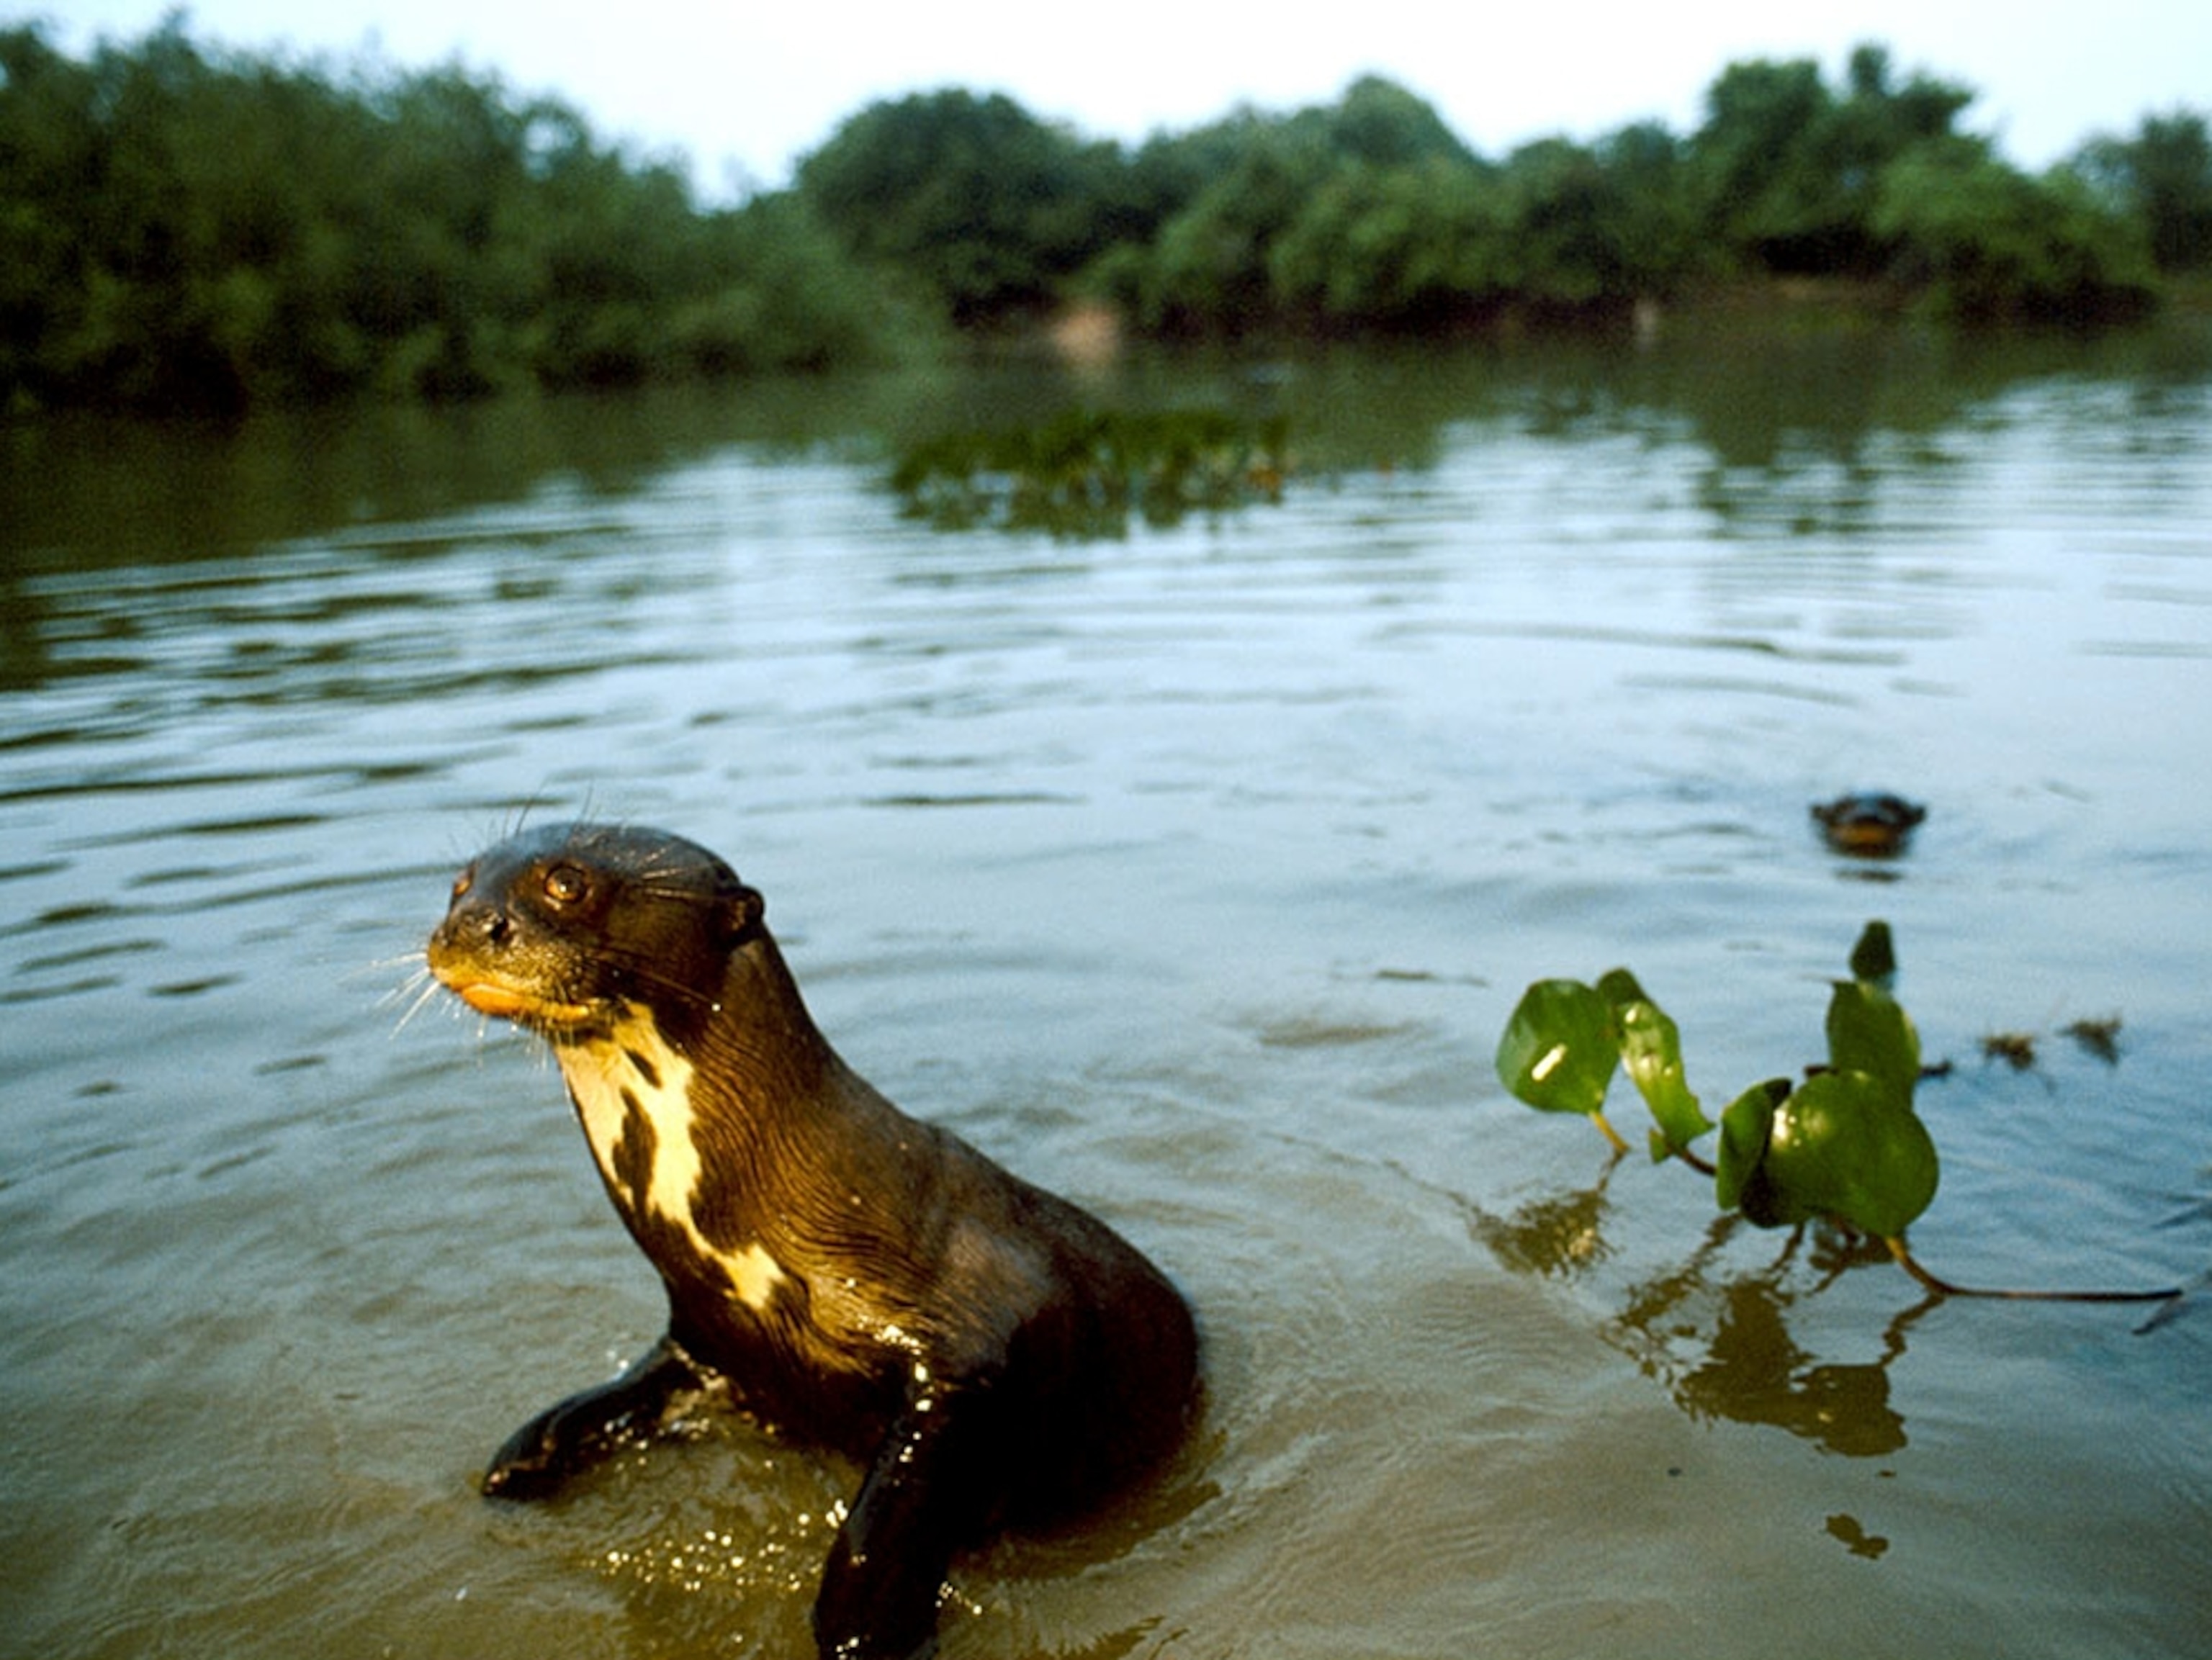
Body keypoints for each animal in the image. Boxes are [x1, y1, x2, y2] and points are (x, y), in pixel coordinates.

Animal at [424, 822, 1200, 1660]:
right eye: (461, 883)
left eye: (566, 882)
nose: (473, 923)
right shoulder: (707, 1338)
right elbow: (601, 1406)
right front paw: (525, 1453)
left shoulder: (965, 1346)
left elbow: (883, 1524)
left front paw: (862, 1623)